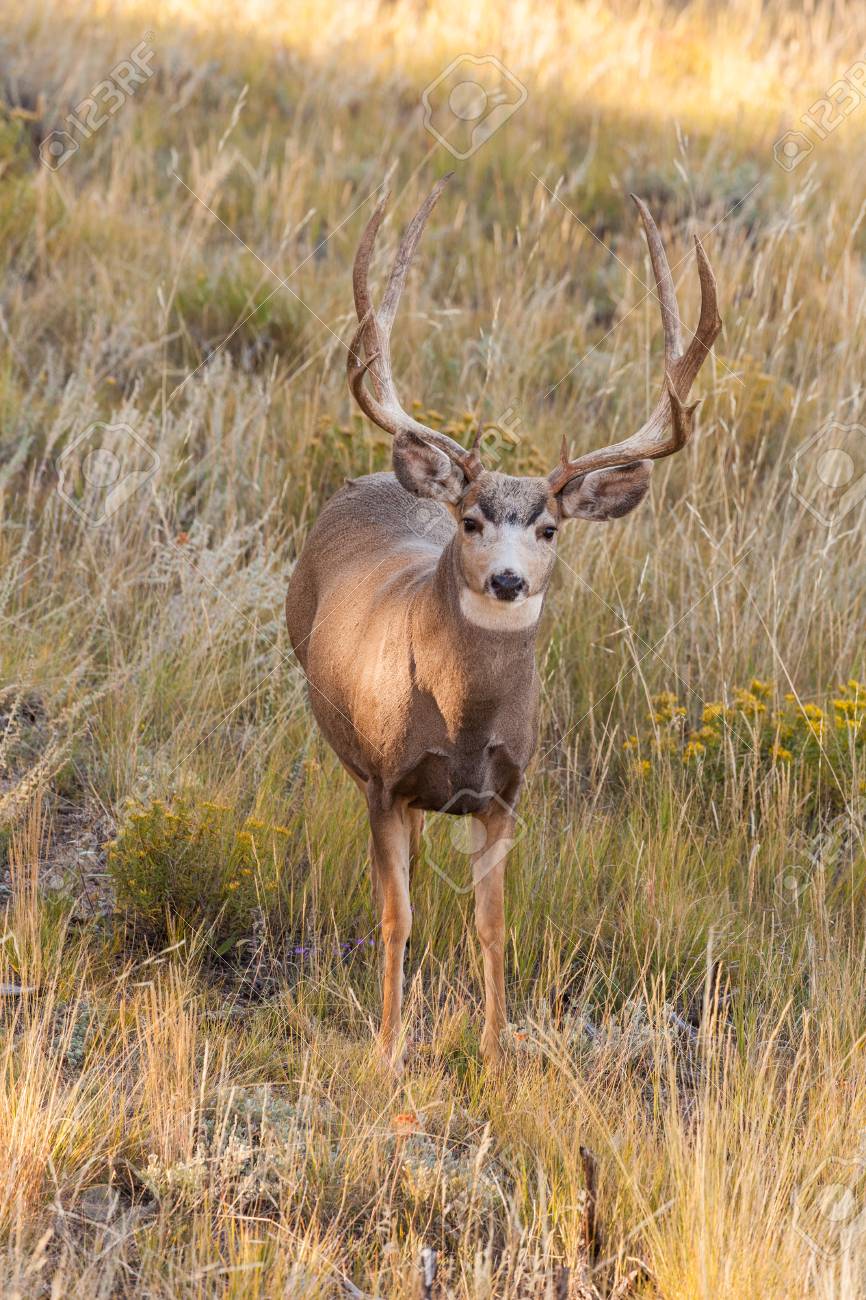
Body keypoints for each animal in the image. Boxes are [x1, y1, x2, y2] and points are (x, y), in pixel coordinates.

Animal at [286, 178, 717, 1071]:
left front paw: (494, 1051)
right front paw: (389, 1050)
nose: (508, 579)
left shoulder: (507, 794)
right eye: (474, 520)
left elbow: (493, 927)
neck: (462, 720)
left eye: (549, 529)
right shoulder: (386, 779)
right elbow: (396, 917)